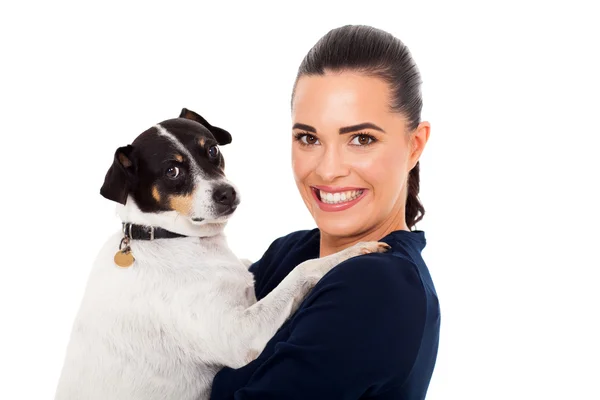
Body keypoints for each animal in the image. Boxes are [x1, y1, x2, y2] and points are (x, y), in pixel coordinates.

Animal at [52, 109, 390, 400]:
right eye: (172, 171)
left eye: (212, 150)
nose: (226, 193)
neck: (177, 238)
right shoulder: (240, 337)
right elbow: (303, 268)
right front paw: (353, 249)